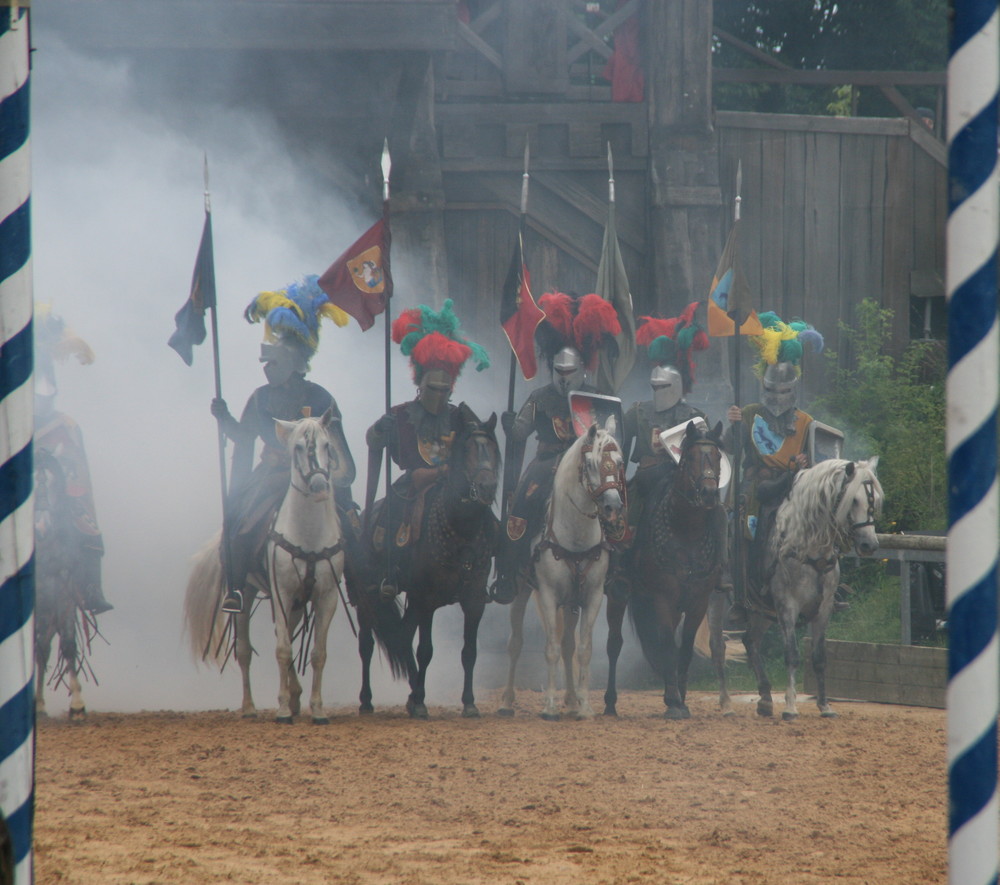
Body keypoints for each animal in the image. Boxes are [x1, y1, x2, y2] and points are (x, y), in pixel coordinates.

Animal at [186, 410, 354, 720]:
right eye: (298, 447)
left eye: (327, 445)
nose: (319, 487)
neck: (308, 534)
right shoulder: (282, 593)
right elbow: (283, 650)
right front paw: (283, 709)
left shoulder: (326, 597)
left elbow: (318, 653)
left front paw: (317, 709)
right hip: (246, 592)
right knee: (244, 650)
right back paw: (250, 707)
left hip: (297, 602)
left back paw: (296, 695)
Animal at [358, 400, 500, 720]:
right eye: (467, 450)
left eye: (493, 450)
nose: (486, 488)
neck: (460, 528)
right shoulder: (426, 599)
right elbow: (425, 650)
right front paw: (421, 702)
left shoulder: (473, 600)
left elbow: (469, 651)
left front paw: (469, 703)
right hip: (367, 598)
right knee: (367, 645)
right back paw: (368, 701)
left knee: (402, 637)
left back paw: (410, 695)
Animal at [500, 420, 624, 720]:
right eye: (590, 464)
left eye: (618, 462)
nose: (613, 506)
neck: (575, 536)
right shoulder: (547, 595)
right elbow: (551, 648)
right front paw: (549, 707)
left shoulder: (591, 597)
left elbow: (582, 649)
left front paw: (585, 707)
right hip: (521, 590)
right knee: (516, 643)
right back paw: (507, 701)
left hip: (571, 603)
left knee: (569, 644)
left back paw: (571, 699)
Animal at [600, 420, 728, 720]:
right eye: (690, 457)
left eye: (717, 456)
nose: (708, 493)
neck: (686, 530)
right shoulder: (663, 599)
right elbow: (668, 646)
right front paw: (673, 701)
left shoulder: (697, 603)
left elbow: (685, 650)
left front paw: (681, 697)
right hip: (618, 594)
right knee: (614, 644)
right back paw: (610, 702)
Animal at [740, 456, 880, 720]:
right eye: (853, 499)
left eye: (874, 500)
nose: (870, 544)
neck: (808, 547)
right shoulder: (787, 607)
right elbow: (792, 655)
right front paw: (790, 707)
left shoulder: (823, 609)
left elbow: (819, 657)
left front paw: (825, 706)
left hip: (759, 610)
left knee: (750, 641)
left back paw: (765, 698)